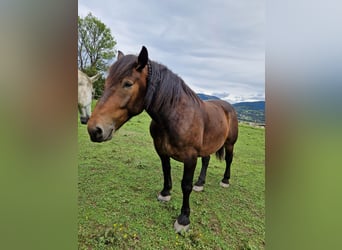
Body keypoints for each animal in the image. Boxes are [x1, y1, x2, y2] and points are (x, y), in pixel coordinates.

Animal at [87, 46, 239, 231]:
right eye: (106, 82)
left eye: (128, 84)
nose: (94, 130)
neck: (176, 117)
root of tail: (228, 106)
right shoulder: (161, 150)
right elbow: (166, 171)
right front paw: (165, 193)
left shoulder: (190, 157)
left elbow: (186, 185)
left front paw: (183, 218)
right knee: (206, 160)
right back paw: (200, 183)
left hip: (230, 144)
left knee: (229, 160)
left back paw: (225, 180)